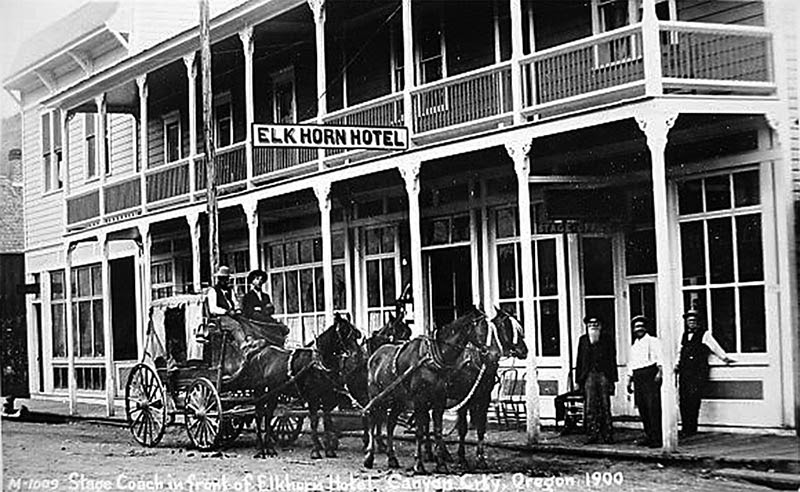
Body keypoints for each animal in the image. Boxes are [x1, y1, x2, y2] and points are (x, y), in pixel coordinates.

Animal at [233, 312, 362, 459]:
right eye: (343, 331)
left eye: (353, 331)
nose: (356, 354)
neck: (318, 362)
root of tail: (258, 352)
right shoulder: (313, 397)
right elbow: (314, 421)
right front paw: (316, 450)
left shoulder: (326, 397)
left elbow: (327, 421)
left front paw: (329, 450)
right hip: (259, 391)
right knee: (259, 415)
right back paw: (260, 449)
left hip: (273, 392)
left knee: (268, 415)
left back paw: (270, 448)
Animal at [362, 307, 490, 474]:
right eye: (481, 327)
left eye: (488, 327)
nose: (487, 352)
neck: (432, 358)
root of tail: (375, 355)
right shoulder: (420, 400)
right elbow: (419, 431)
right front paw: (419, 464)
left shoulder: (439, 400)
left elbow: (437, 430)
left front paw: (441, 463)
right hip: (377, 397)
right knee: (372, 422)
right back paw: (369, 457)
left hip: (398, 401)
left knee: (390, 425)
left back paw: (392, 458)